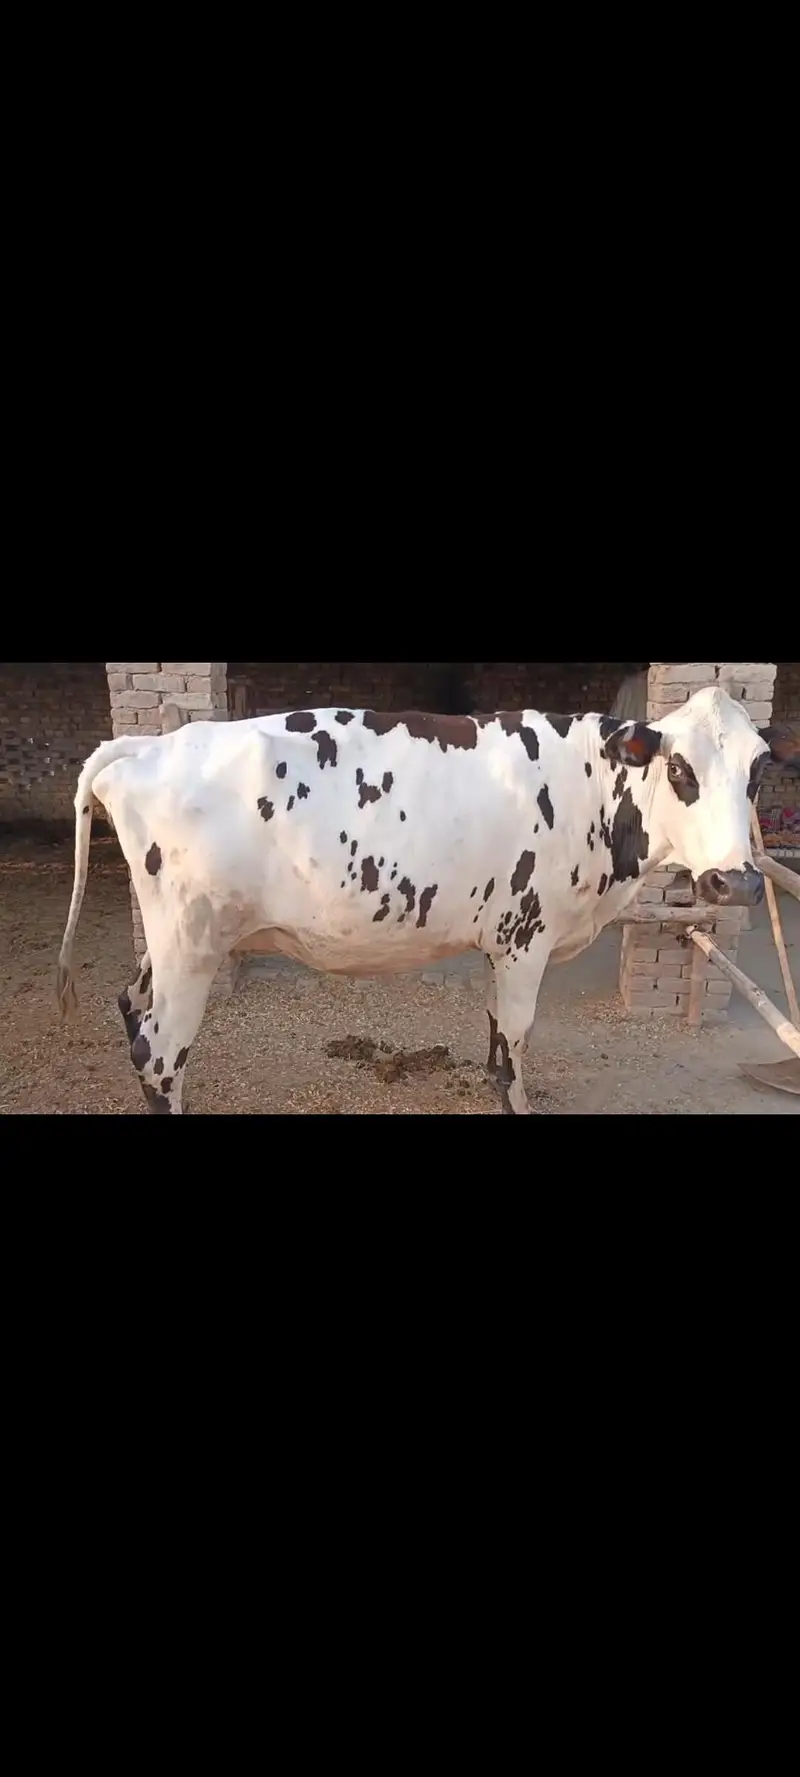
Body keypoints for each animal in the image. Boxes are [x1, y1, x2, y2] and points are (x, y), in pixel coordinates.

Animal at [56, 688, 799, 1114]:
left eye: (759, 768)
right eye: (680, 768)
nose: (736, 882)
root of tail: (150, 743)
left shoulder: (498, 938)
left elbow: (497, 1027)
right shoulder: (526, 935)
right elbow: (519, 1031)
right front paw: (516, 1100)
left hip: (174, 940)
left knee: (131, 1005)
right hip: (190, 942)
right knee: (160, 1050)